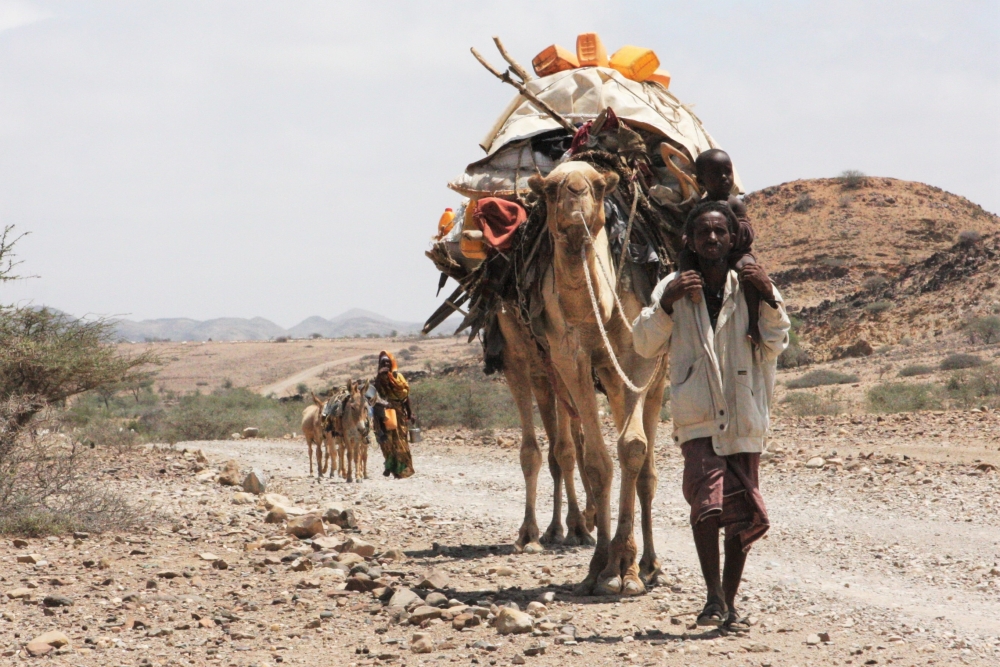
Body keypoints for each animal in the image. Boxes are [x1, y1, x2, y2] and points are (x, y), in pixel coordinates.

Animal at [528, 163, 668, 600]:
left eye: (598, 185)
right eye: (551, 189)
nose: (575, 192)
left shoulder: (639, 357)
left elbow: (634, 448)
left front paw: (628, 570)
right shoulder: (569, 359)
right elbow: (596, 461)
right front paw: (601, 569)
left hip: (658, 374)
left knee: (646, 467)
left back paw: (652, 564)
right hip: (602, 372)